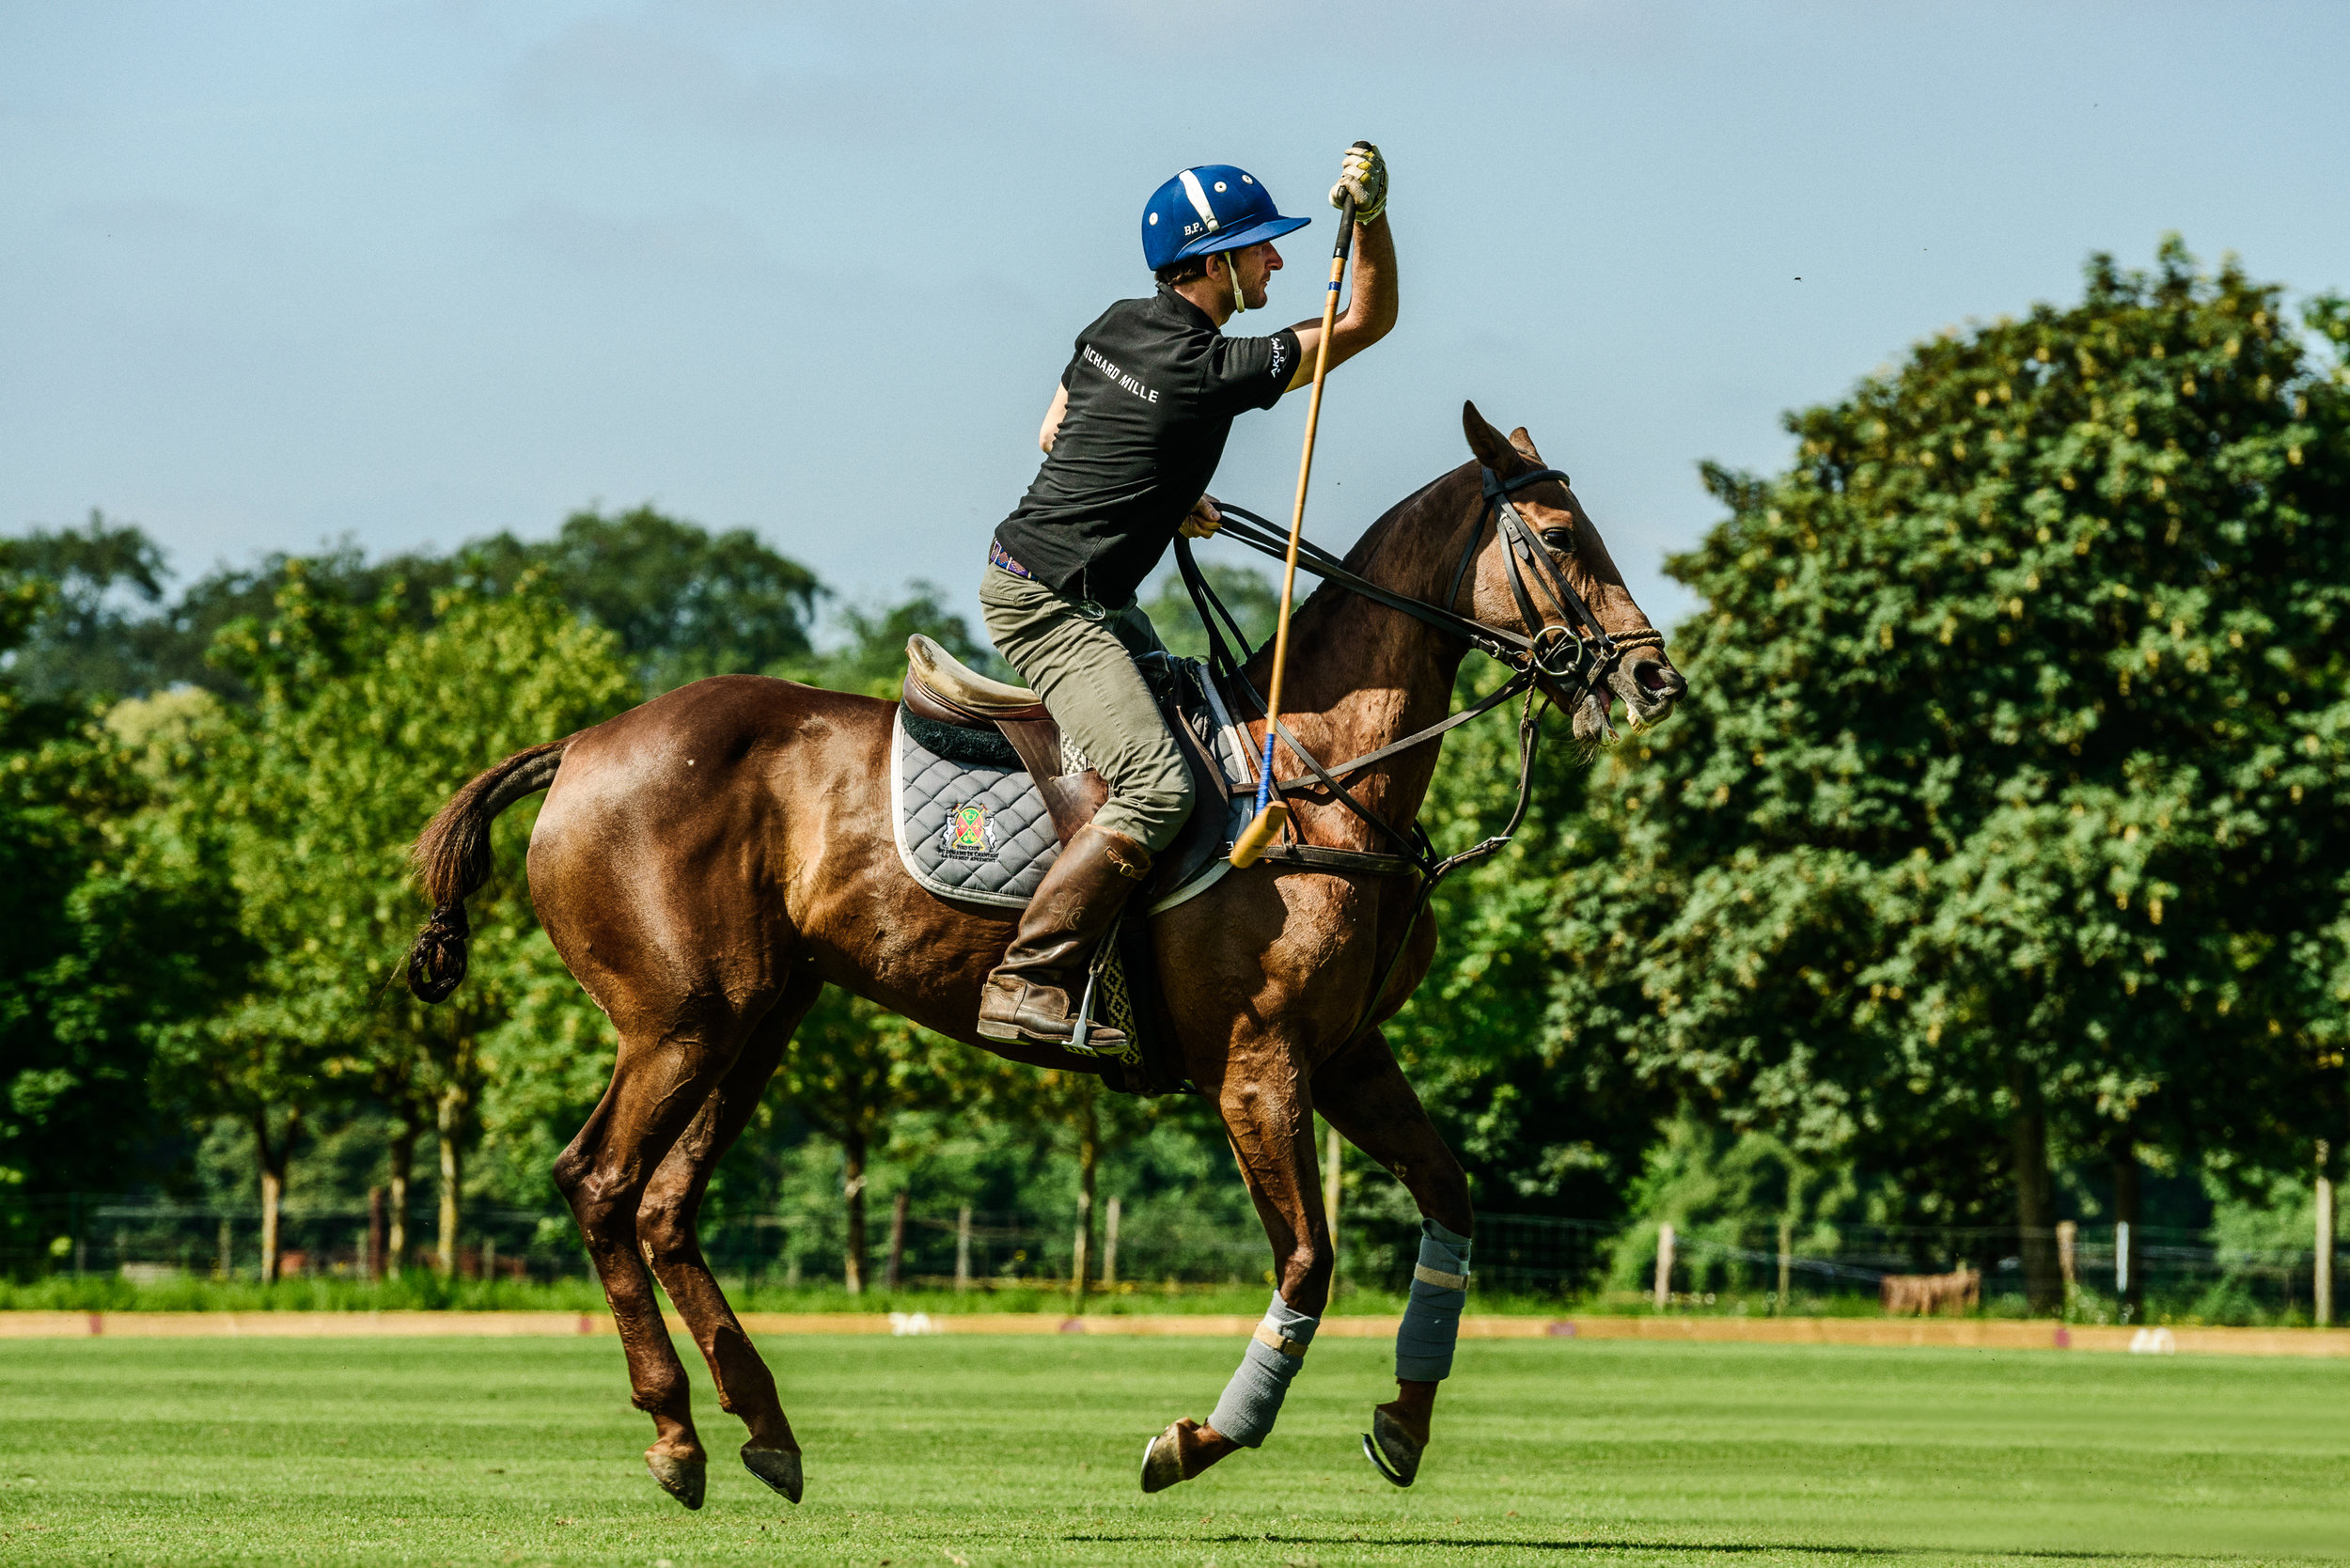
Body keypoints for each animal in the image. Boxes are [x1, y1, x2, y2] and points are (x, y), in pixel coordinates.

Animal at [409, 401, 1692, 1504]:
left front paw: (1403, 1423)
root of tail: (579, 745)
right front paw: (1197, 1438)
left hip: (762, 1016)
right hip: (679, 1017)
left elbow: (1449, 1199)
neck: (1322, 771)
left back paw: (764, 1427)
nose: (1651, 675)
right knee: (601, 1182)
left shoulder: (1346, 1055)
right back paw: (676, 1432)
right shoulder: (1258, 1064)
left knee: (667, 1204)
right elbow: (1308, 1261)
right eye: (1563, 536)